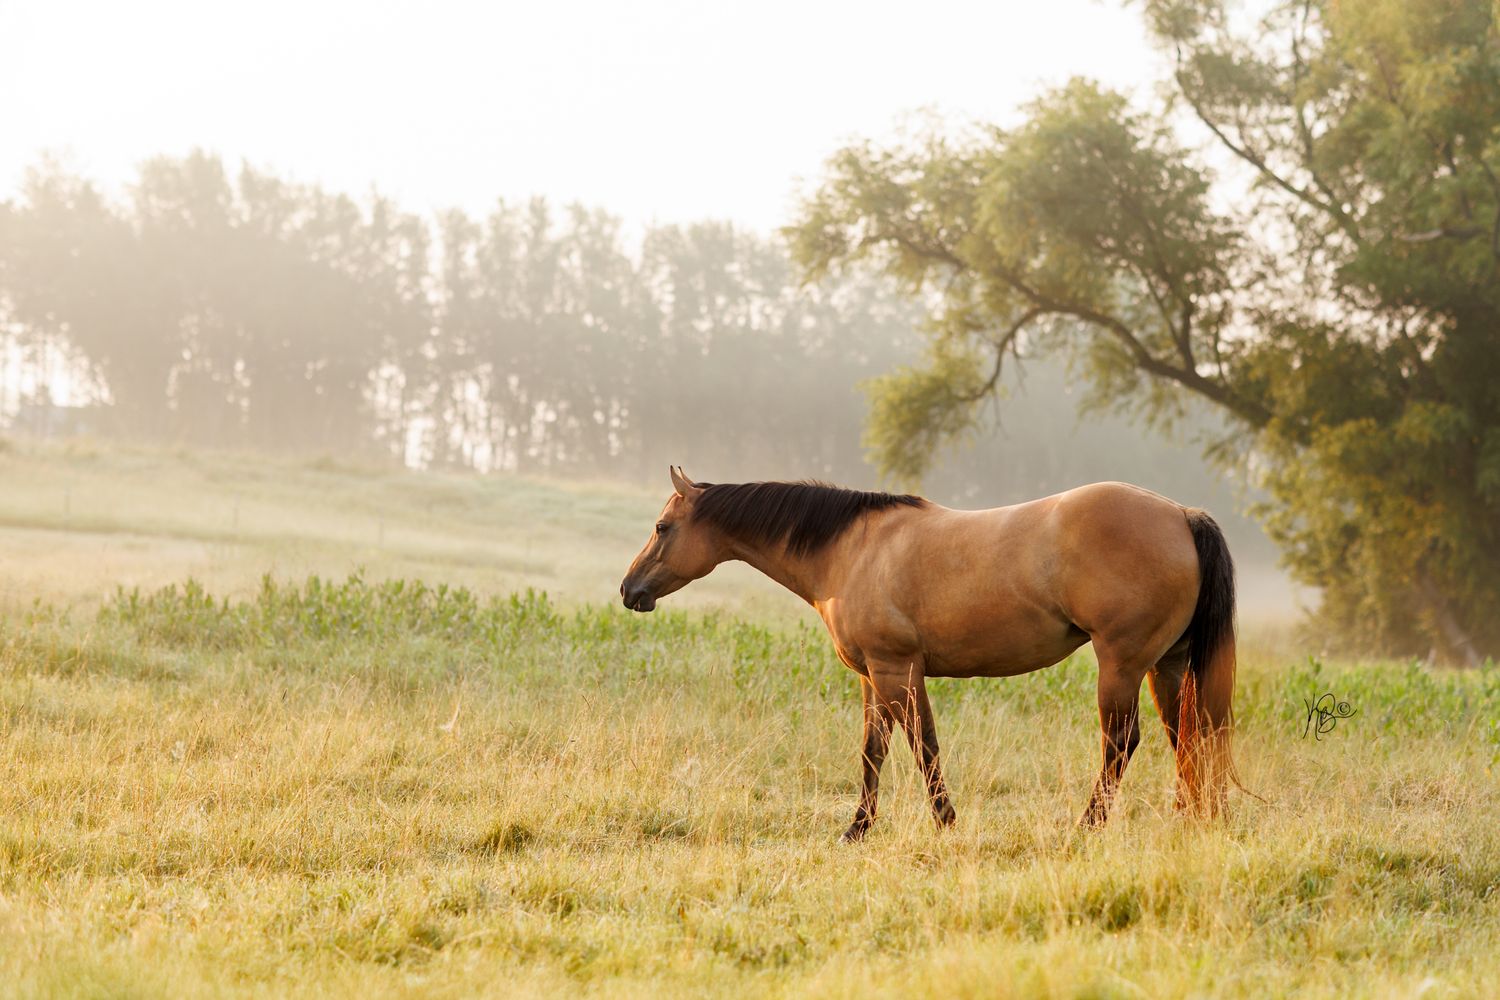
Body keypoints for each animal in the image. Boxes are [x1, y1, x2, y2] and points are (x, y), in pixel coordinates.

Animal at [619, 467, 1237, 841]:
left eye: (662, 527)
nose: (629, 591)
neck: (852, 550)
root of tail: (1181, 515)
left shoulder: (897, 670)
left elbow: (923, 746)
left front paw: (945, 821)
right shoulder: (873, 676)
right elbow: (873, 752)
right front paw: (857, 829)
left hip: (1122, 665)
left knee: (1121, 742)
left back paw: (1088, 826)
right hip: (1167, 666)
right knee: (1189, 737)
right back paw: (1190, 820)